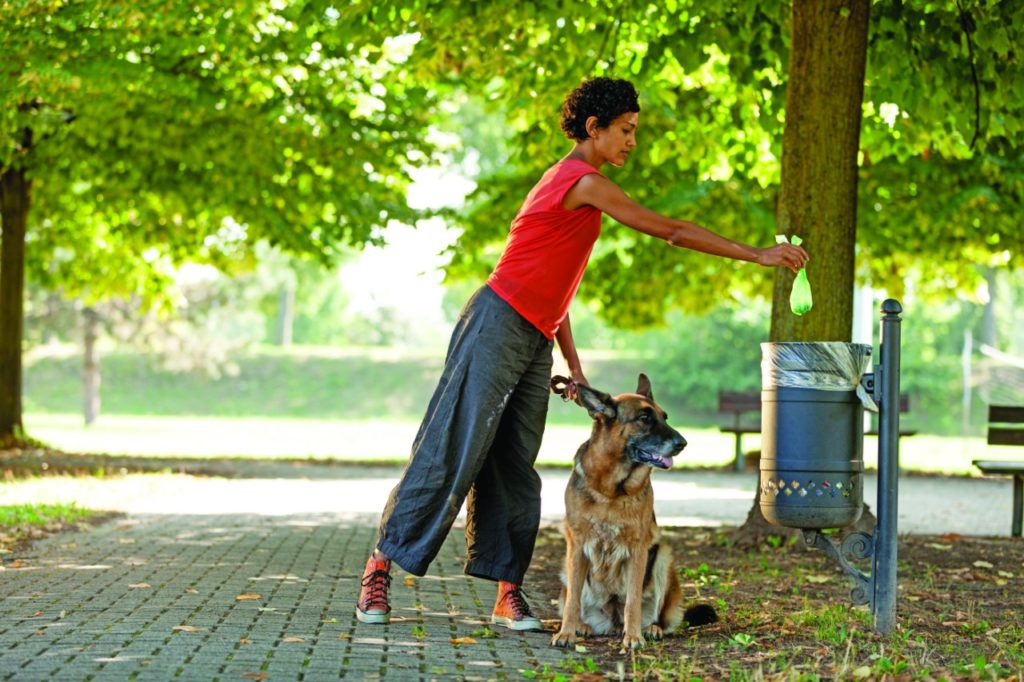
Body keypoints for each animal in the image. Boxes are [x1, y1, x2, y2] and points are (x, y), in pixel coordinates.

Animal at [552, 376, 712, 647]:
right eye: (644, 418)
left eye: (664, 417)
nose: (682, 443)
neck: (611, 491)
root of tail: (612, 623)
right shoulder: (577, 546)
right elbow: (572, 599)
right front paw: (566, 633)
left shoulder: (638, 549)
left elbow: (632, 601)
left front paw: (634, 636)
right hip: (567, 565)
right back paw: (582, 626)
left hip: (663, 557)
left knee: (656, 615)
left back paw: (650, 628)